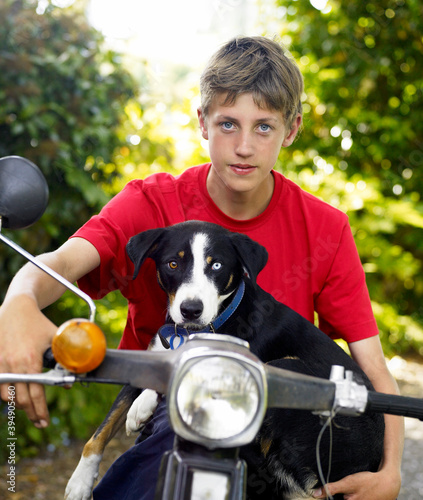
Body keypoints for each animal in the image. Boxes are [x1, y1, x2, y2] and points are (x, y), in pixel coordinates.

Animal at [64, 222, 386, 500]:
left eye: (216, 265)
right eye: (173, 264)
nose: (191, 309)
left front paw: (142, 404)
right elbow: (101, 431)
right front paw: (80, 482)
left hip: (286, 369)